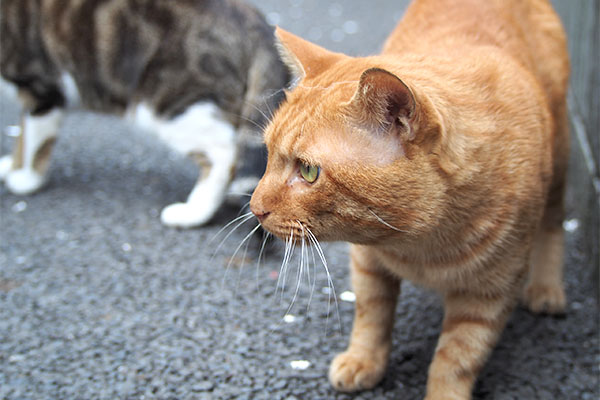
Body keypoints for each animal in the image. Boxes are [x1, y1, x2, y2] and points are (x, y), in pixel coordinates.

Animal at [0, 0, 290, 228]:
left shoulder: (42, 89)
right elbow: (22, 135)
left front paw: (27, 179)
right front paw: (10, 165)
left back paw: (193, 213)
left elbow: (35, 143)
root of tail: (257, 22)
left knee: (224, 153)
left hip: (172, 104)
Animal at [250, 0, 572, 396]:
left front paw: (443, 393)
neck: (420, 246)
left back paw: (547, 287)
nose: (254, 208)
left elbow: (456, 359)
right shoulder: (367, 262)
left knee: (554, 223)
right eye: (268, 153)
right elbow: (371, 316)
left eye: (308, 171)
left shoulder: (490, 293)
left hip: (559, 159)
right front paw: (363, 361)